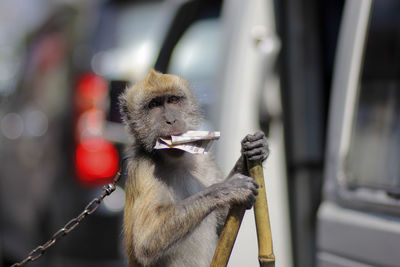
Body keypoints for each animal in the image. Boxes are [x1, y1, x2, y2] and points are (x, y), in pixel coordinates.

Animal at [119, 70, 268, 266]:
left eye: (173, 100)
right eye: (154, 105)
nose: (171, 120)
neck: (175, 161)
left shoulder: (205, 160)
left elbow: (223, 228)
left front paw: (251, 152)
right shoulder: (143, 169)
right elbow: (146, 242)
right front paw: (225, 190)